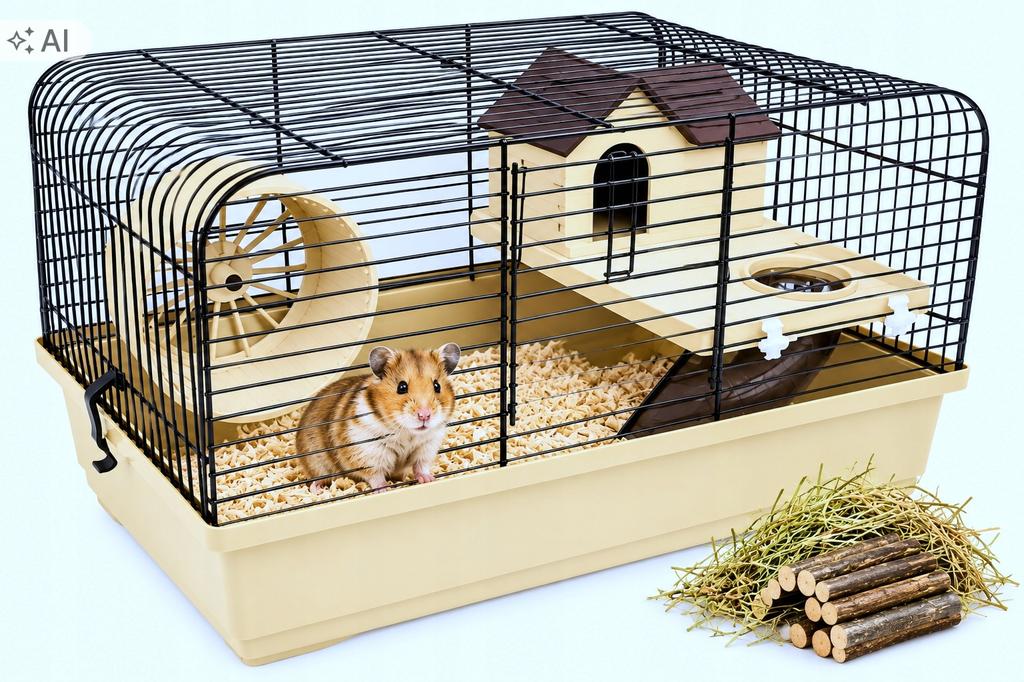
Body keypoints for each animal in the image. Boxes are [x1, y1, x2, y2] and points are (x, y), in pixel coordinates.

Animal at [295, 343, 461, 494]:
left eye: (437, 386)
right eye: (402, 387)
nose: (424, 415)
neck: (407, 432)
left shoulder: (426, 447)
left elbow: (421, 466)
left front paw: (429, 479)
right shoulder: (366, 451)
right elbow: (375, 475)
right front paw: (384, 489)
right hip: (316, 463)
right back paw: (317, 489)